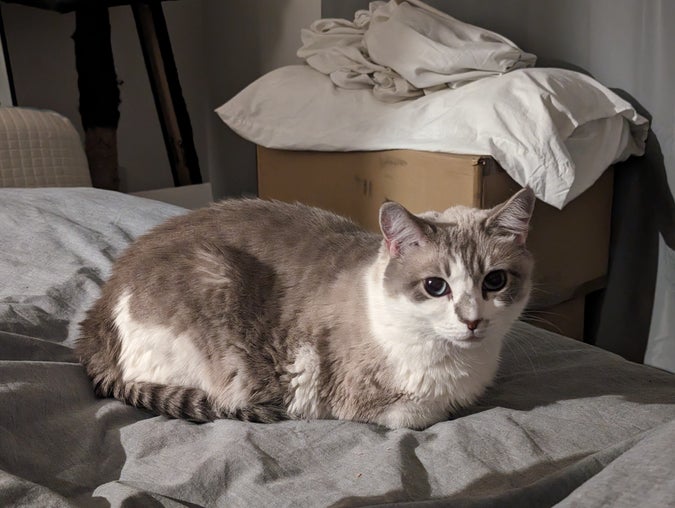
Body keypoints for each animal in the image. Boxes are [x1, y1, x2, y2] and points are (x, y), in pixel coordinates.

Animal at [76, 188, 536, 428]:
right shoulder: (376, 405)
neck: (459, 365)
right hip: (212, 275)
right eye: (435, 286)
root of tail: (100, 307)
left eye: (494, 281)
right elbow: (421, 416)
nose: (472, 320)